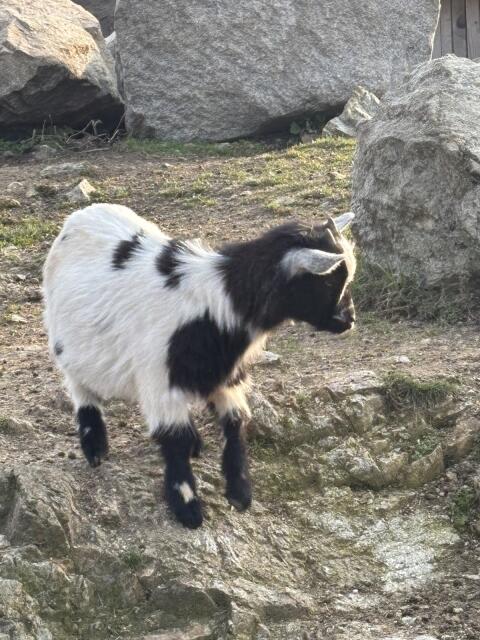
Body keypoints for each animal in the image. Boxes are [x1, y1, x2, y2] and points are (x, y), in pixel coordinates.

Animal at [43, 204, 356, 528]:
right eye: (328, 281)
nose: (350, 320)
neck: (218, 305)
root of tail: (83, 214)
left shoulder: (225, 374)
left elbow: (235, 422)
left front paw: (239, 491)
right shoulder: (160, 378)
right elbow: (174, 438)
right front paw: (187, 507)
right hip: (68, 343)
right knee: (80, 388)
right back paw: (95, 447)